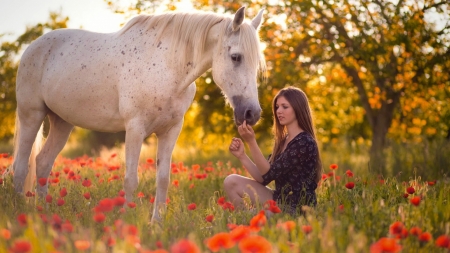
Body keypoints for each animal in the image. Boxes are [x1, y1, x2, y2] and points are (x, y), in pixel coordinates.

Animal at [12, 6, 266, 222]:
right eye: (236, 57)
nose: (252, 113)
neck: (166, 67)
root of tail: (32, 48)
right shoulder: (135, 128)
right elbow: (130, 180)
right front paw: (127, 221)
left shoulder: (171, 131)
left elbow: (162, 179)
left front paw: (157, 224)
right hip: (31, 115)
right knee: (21, 166)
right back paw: (20, 211)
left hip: (62, 122)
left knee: (43, 163)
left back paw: (45, 212)